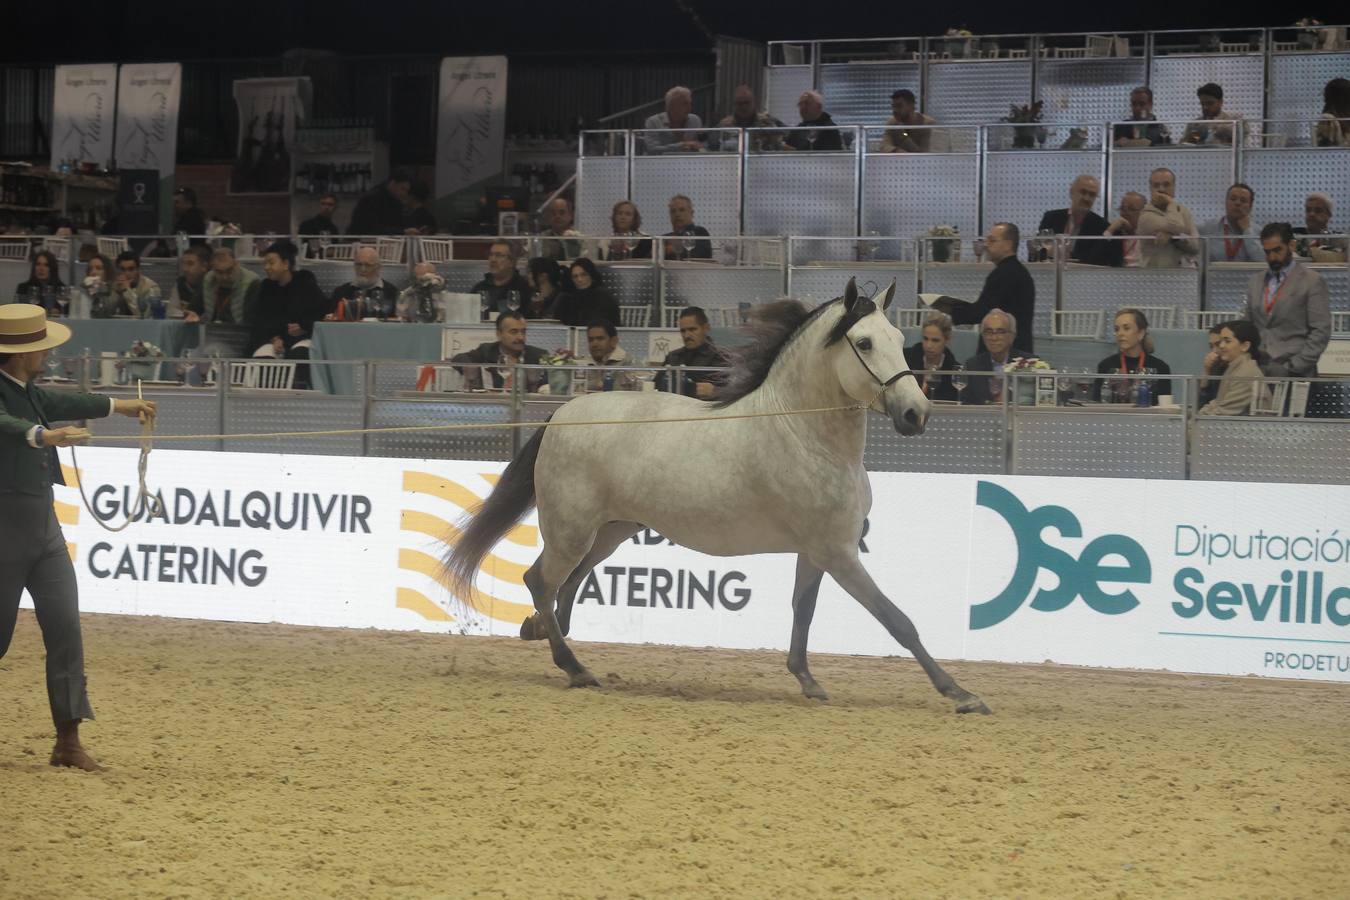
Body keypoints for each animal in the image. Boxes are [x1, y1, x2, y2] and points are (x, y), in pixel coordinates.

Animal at [444, 278, 991, 714]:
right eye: (863, 342)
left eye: (899, 340)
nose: (916, 414)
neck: (802, 433)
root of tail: (560, 415)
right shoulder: (839, 553)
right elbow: (899, 622)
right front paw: (962, 694)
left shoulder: (818, 551)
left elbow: (803, 611)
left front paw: (808, 681)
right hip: (571, 531)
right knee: (540, 579)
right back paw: (574, 666)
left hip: (611, 532)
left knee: (567, 584)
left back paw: (542, 633)